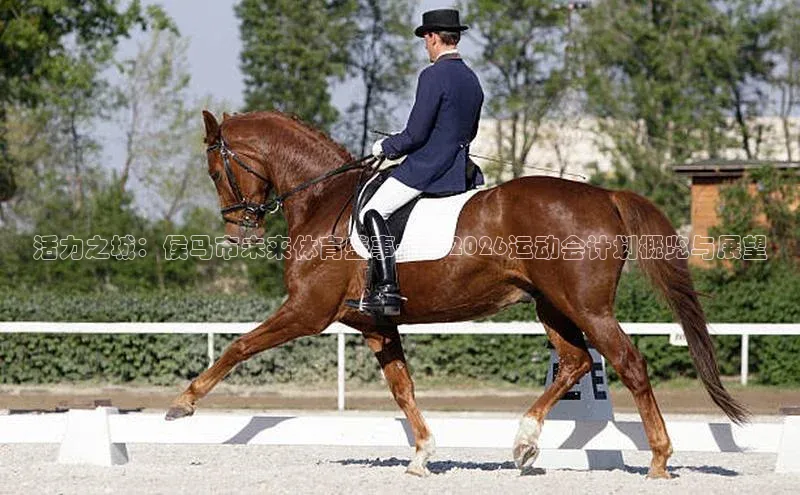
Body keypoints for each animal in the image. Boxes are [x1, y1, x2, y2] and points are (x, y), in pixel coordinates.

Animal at [165, 110, 749, 478]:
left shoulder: (307, 312)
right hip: (552, 306)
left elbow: (240, 345)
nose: (239, 234)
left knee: (627, 362)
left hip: (585, 306)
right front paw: (422, 456)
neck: (324, 200)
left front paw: (182, 404)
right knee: (576, 362)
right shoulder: (376, 323)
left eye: (217, 170)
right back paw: (525, 443)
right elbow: (403, 389)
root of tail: (604, 195)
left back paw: (658, 460)